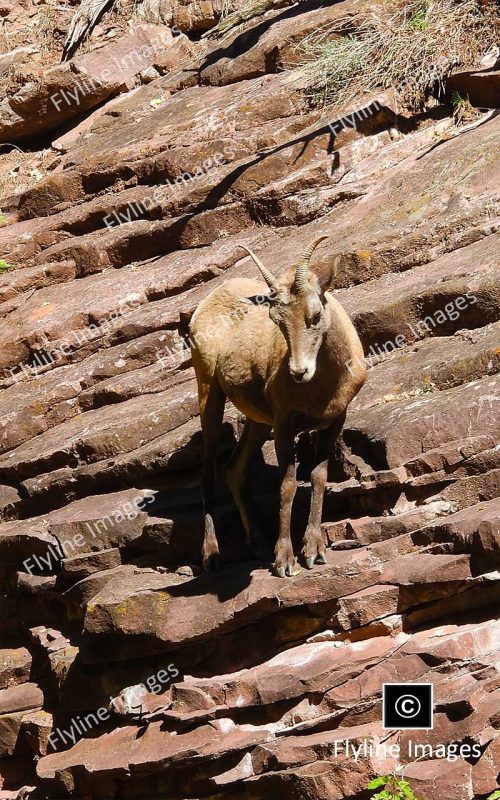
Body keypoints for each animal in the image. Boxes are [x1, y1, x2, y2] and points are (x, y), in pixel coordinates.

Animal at [189, 234, 366, 580]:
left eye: (314, 314)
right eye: (277, 320)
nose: (299, 372)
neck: (322, 386)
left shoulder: (334, 420)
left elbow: (318, 478)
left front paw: (313, 552)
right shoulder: (285, 426)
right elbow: (286, 486)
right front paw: (284, 561)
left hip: (258, 421)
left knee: (234, 469)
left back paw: (257, 543)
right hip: (209, 395)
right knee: (208, 475)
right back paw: (212, 556)